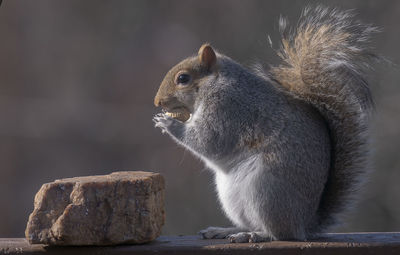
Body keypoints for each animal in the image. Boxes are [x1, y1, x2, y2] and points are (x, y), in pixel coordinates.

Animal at [152, 4, 376, 242]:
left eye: (183, 79)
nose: (157, 102)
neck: (215, 83)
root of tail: (304, 224)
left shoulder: (227, 108)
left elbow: (209, 140)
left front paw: (169, 123)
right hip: (234, 197)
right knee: (251, 223)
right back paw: (226, 230)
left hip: (266, 190)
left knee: (279, 234)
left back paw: (254, 235)